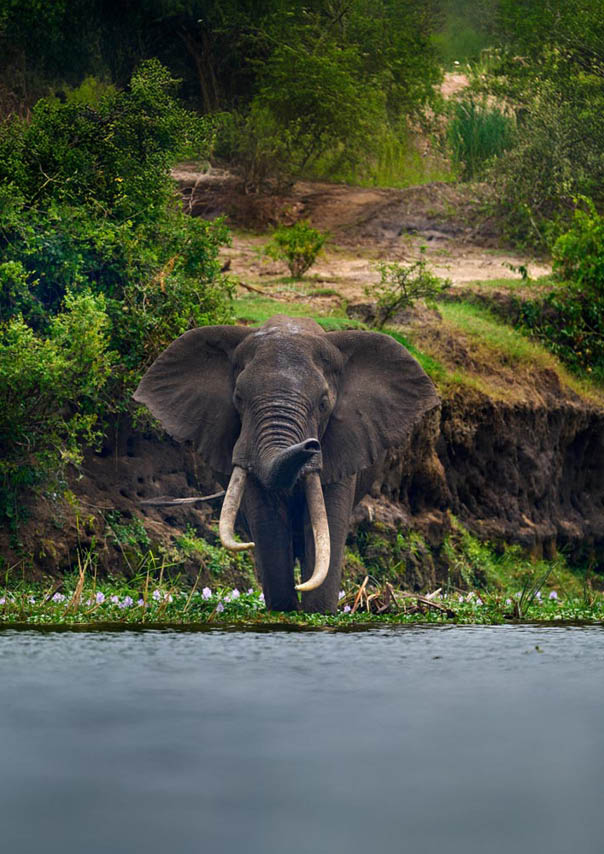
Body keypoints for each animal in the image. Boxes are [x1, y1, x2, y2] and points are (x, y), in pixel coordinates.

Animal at [134, 314, 439, 614]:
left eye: (323, 403)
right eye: (238, 398)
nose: (312, 445)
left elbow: (326, 519)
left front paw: (317, 613)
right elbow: (268, 517)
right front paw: (284, 611)